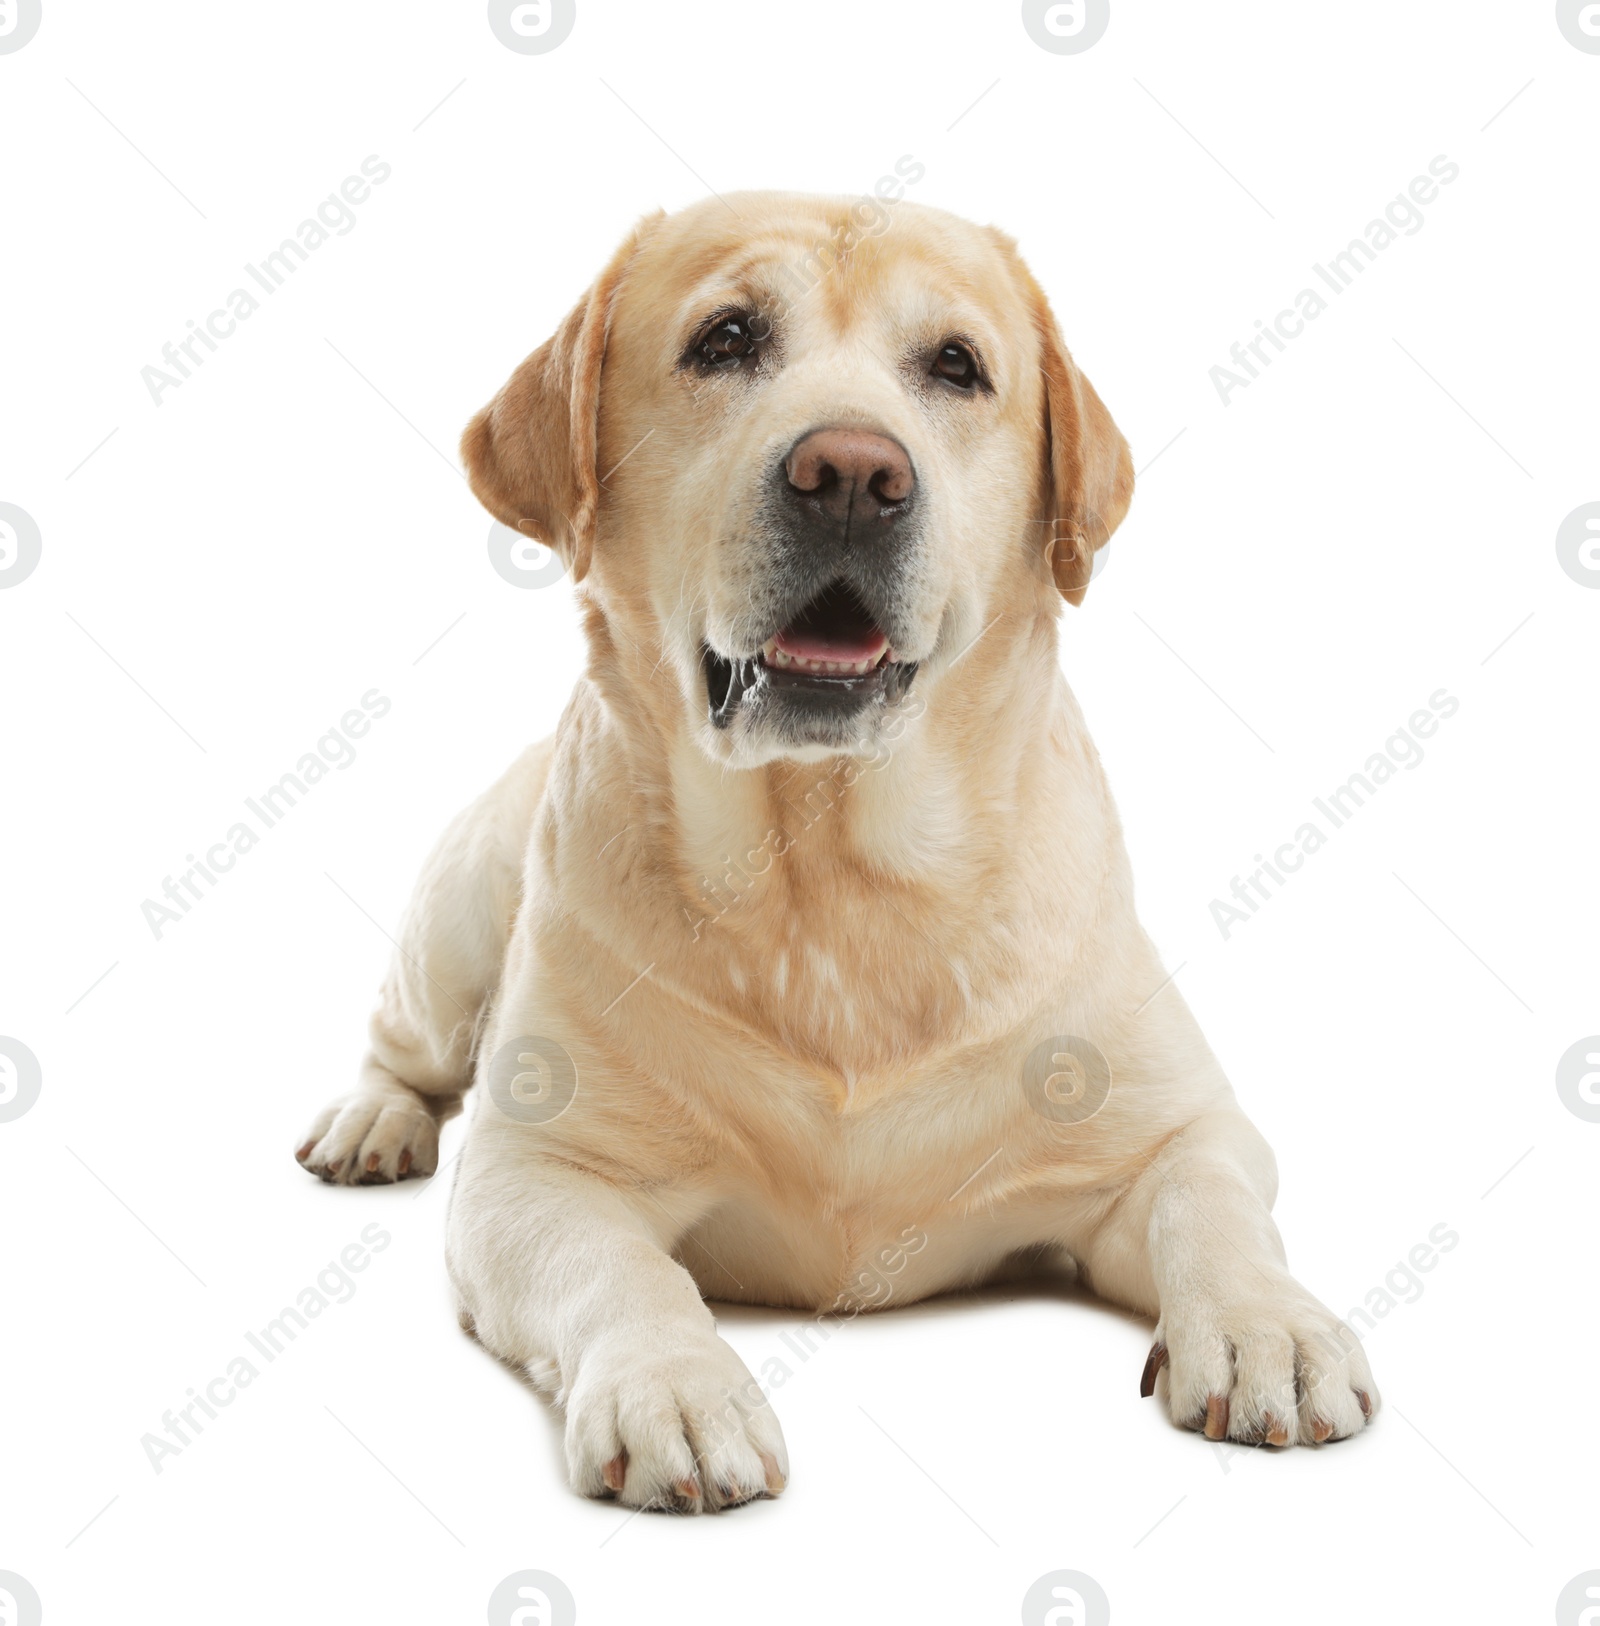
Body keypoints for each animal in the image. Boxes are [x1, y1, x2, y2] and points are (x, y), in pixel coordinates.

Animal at [297, 190, 1372, 1508]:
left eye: (956, 366)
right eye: (724, 339)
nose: (852, 475)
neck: (834, 875)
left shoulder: (1183, 1124)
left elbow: (1211, 1203)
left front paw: (1268, 1326)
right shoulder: (532, 1173)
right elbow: (619, 1268)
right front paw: (675, 1387)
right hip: (452, 922)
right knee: (402, 1045)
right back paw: (370, 1123)